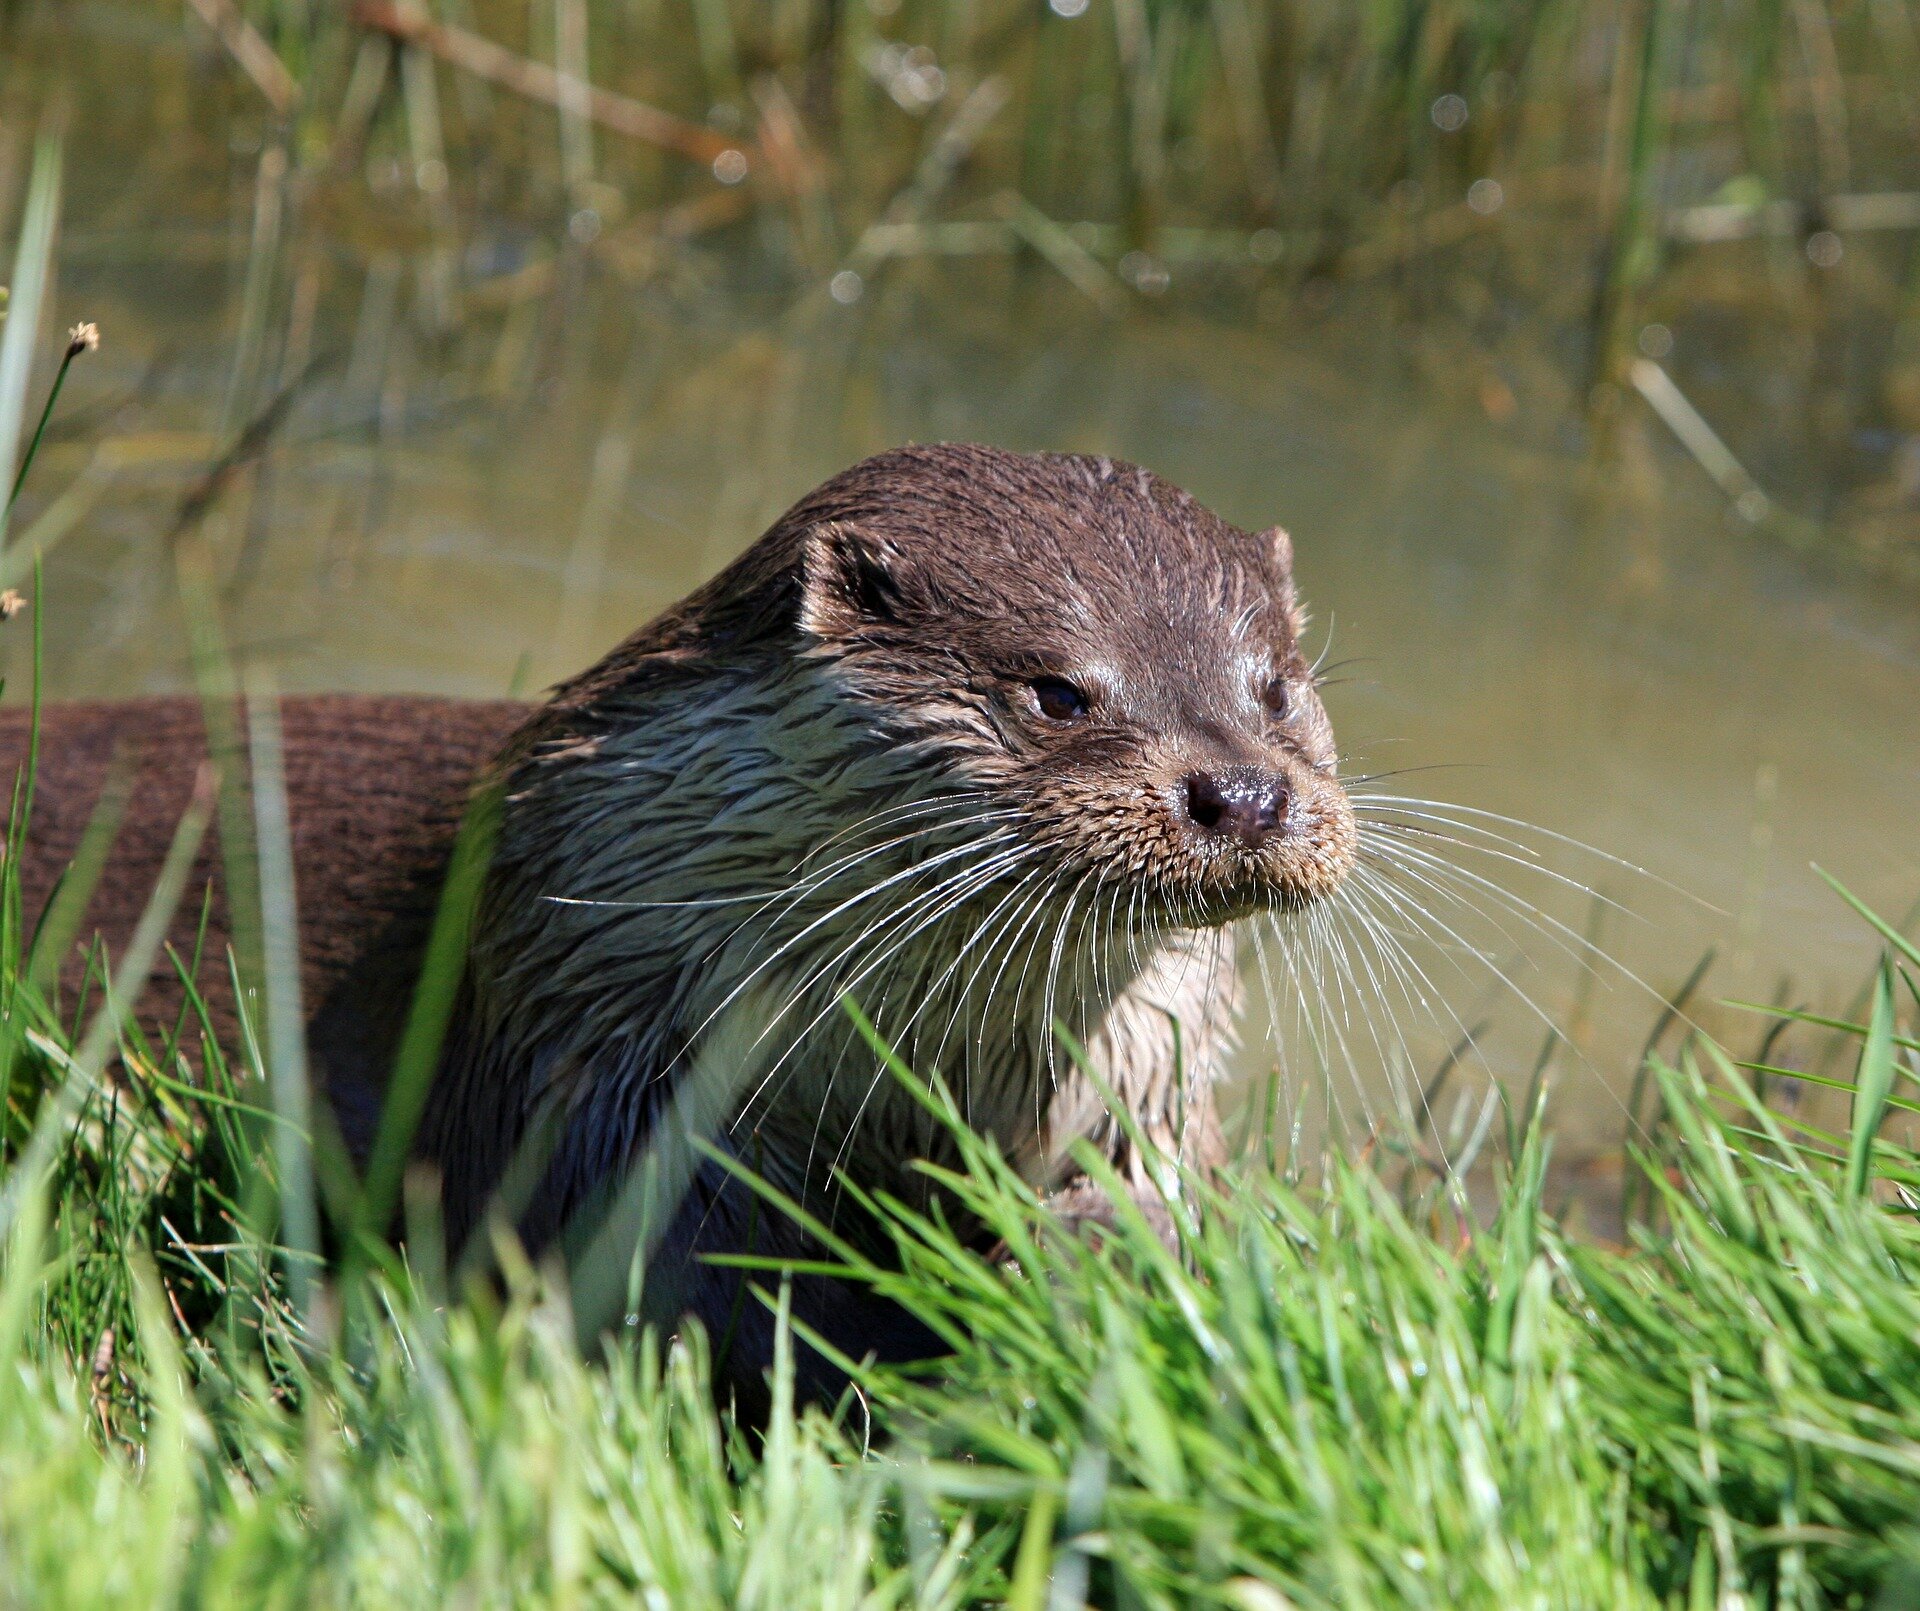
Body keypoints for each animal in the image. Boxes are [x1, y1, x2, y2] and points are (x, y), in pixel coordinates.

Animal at [0, 447, 1359, 1405]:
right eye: (1059, 693)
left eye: (1274, 688)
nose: (1245, 793)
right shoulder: (590, 1052)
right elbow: (688, 1278)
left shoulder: (1147, 1069)